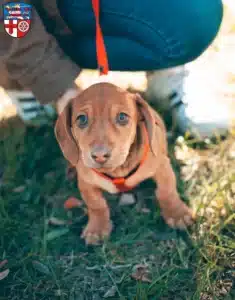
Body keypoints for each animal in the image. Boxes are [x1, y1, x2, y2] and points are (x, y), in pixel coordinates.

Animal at [55, 81, 195, 244]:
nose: (100, 156)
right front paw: (97, 228)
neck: (117, 170)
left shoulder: (162, 167)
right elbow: (96, 204)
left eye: (122, 117)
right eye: (81, 119)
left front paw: (177, 214)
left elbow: (166, 192)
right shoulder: (86, 182)